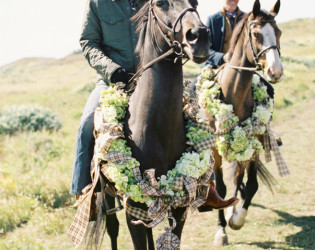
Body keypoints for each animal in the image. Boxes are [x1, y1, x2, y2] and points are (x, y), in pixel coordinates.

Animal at [96, 0, 210, 249]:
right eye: (159, 3)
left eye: (196, 2)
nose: (199, 35)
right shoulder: (133, 211)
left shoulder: (178, 207)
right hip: (108, 196)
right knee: (112, 229)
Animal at [207, 0, 284, 246]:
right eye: (256, 33)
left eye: (278, 32)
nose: (276, 71)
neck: (235, 95)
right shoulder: (216, 151)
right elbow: (220, 188)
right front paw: (221, 231)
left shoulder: (254, 145)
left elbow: (251, 185)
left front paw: (236, 219)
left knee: (239, 177)